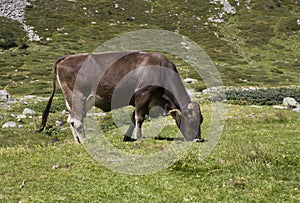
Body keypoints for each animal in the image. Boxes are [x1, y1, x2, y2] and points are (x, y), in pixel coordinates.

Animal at [36, 50, 203, 143]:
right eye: (190, 120)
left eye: (201, 120)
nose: (198, 139)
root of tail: (65, 58)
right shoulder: (142, 94)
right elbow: (139, 118)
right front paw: (139, 138)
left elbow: (133, 119)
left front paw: (127, 137)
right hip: (78, 96)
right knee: (77, 120)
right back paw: (84, 141)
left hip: (72, 100)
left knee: (71, 119)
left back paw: (77, 141)